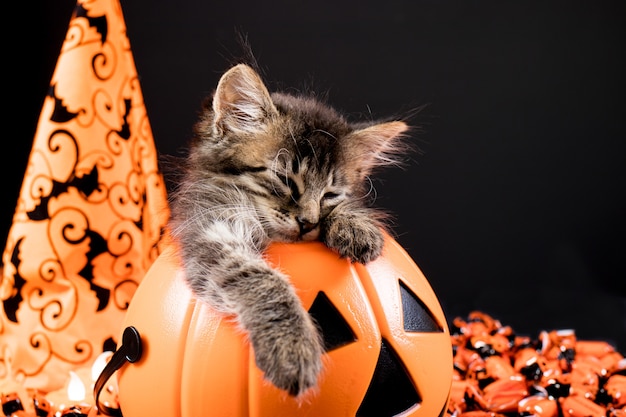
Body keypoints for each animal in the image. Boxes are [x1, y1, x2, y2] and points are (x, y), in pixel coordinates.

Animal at [167, 63, 410, 394]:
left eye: (331, 194)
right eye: (285, 180)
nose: (307, 223)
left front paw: (356, 226)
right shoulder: (214, 229)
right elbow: (263, 281)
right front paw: (291, 347)